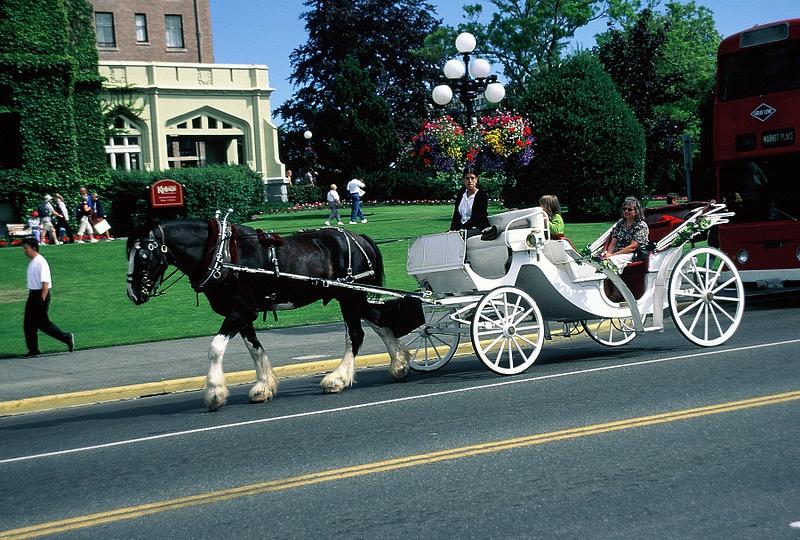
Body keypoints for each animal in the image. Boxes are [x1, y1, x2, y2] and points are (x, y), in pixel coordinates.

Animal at [126, 217, 418, 412]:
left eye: (142, 255)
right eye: (127, 253)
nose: (133, 293)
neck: (223, 255)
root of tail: (359, 238)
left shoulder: (238, 311)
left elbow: (215, 348)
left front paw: (215, 393)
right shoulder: (243, 314)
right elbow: (254, 348)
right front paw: (263, 386)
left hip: (349, 296)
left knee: (356, 334)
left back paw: (338, 378)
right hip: (354, 296)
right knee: (380, 322)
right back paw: (399, 365)